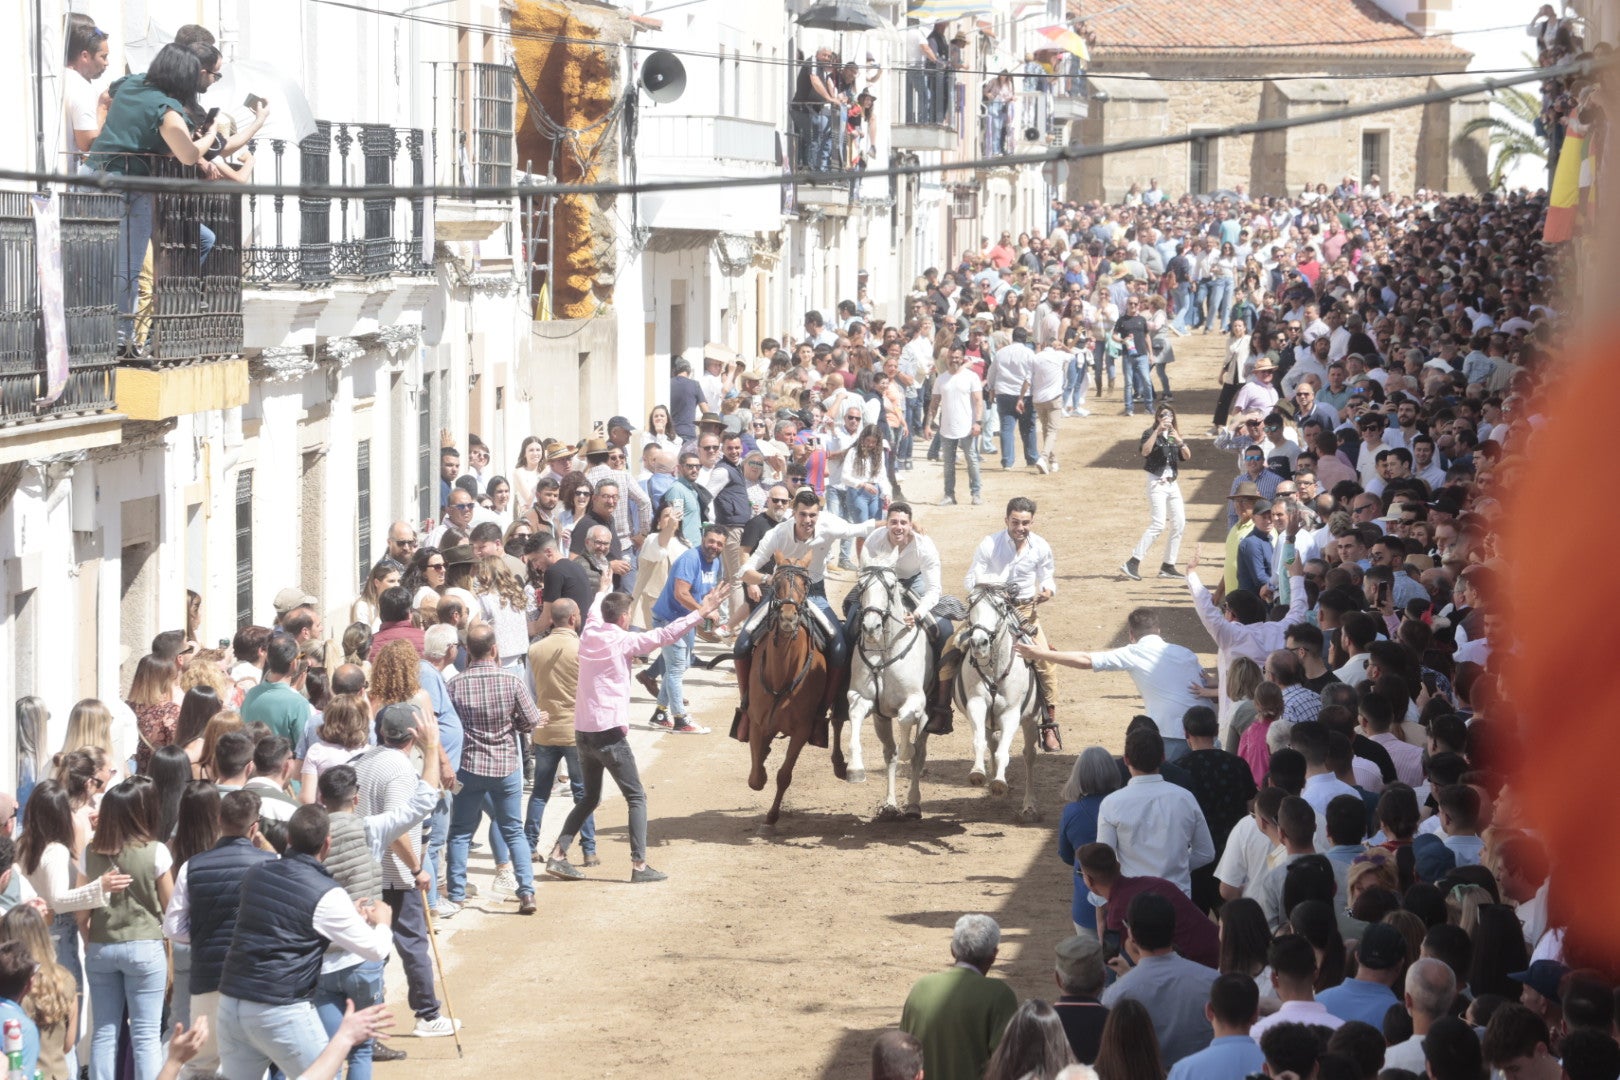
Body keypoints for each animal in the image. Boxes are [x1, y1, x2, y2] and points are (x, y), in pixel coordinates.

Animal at [738, 557, 848, 829]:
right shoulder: (758, 723)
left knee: (838, 720)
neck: (782, 675)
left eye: (804, 584)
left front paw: (772, 815)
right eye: (776, 584)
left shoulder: (801, 730)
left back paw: (840, 764)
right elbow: (756, 778)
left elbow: (783, 775)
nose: (788, 617)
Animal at [842, 566, 933, 819]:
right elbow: (855, 716)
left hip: (926, 718)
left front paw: (907, 750)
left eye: (891, 586)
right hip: (880, 721)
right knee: (889, 754)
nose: (871, 627)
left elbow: (904, 721)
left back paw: (913, 805)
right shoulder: (863, 699)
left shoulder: (916, 701)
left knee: (919, 755)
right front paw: (855, 769)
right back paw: (891, 804)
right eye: (861, 585)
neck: (885, 651)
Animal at [952, 586, 1043, 822]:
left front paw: (1000, 783)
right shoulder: (976, 705)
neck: (994, 669)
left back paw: (1029, 805)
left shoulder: (1011, 713)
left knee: (1029, 756)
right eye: (971, 603)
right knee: (991, 742)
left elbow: (1004, 751)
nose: (979, 643)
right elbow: (980, 743)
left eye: (1001, 605)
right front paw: (978, 773)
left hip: (1031, 720)